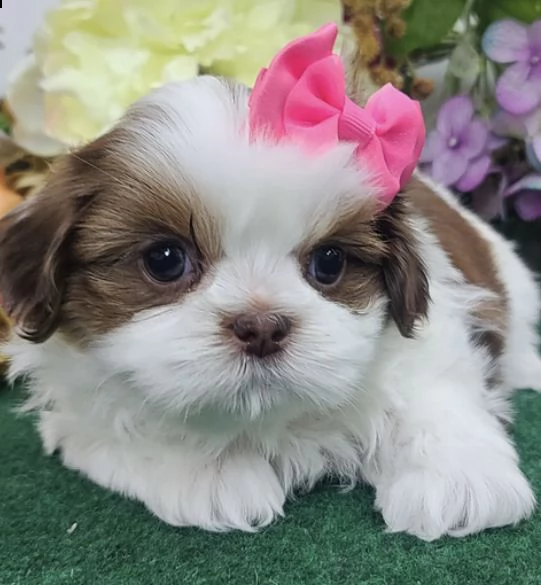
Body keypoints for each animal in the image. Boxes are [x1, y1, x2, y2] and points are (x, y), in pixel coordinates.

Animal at [1, 25, 540, 540]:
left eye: (329, 263)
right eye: (165, 259)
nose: (261, 327)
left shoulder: (433, 331)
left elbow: (433, 389)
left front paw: (458, 479)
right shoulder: (78, 417)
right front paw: (207, 471)